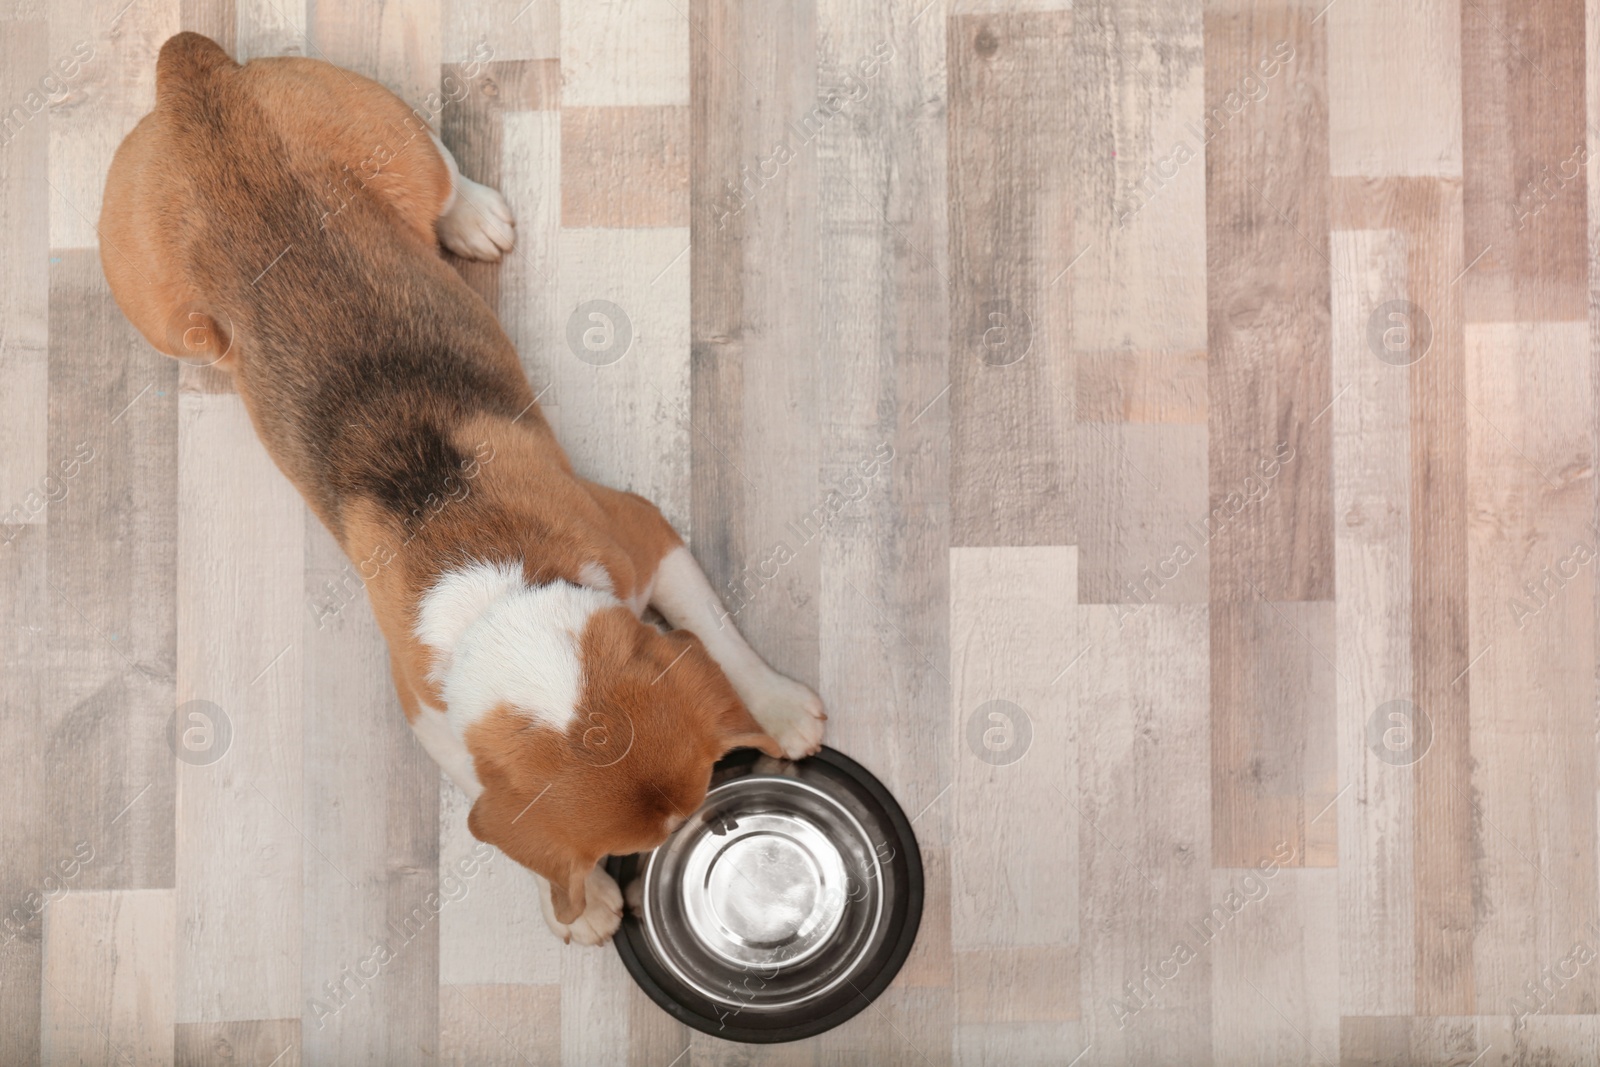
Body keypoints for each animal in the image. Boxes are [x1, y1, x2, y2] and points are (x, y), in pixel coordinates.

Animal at [103, 31, 825, 940]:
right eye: (631, 844)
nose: (718, 833)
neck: (497, 591)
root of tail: (196, 77)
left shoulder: (643, 530)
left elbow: (719, 634)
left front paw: (774, 705)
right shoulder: (428, 711)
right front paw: (579, 898)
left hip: (391, 140)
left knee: (441, 170)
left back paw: (474, 215)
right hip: (163, 316)